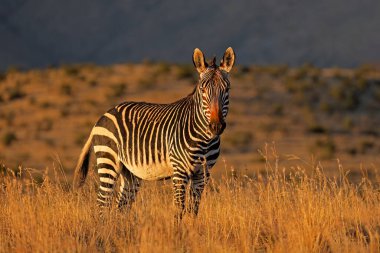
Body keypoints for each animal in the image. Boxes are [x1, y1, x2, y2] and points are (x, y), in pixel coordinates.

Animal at [74, 47, 235, 219]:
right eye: (202, 89)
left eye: (227, 89)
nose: (216, 127)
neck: (204, 139)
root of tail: (104, 115)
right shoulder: (179, 171)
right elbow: (179, 210)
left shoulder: (203, 174)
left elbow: (193, 210)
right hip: (108, 161)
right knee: (102, 204)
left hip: (130, 172)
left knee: (121, 206)